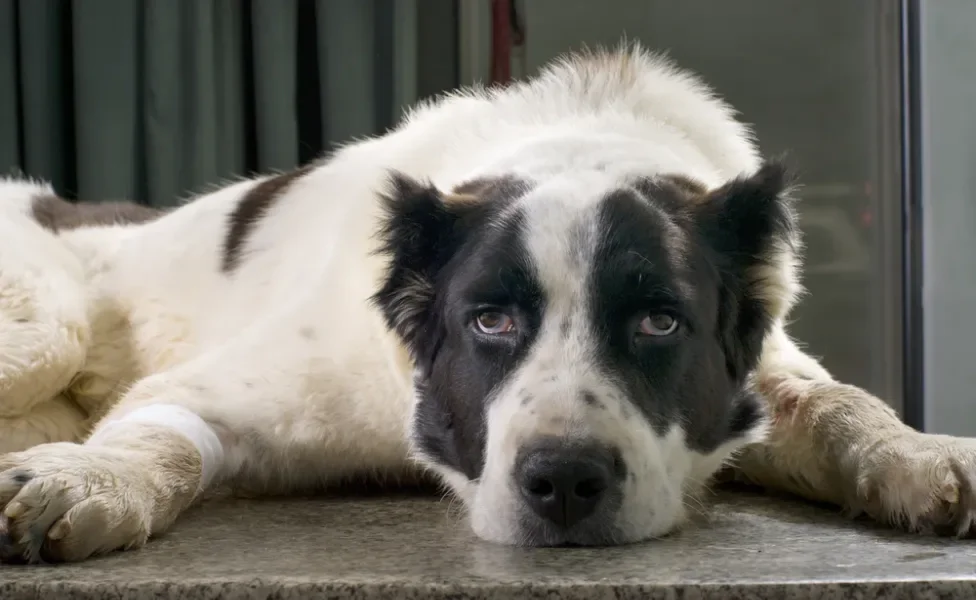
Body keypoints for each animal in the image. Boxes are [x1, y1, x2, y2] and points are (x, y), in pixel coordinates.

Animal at [1, 45, 976, 564]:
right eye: (491, 321)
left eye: (659, 322)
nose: (566, 481)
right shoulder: (227, 391)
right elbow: (160, 433)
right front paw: (87, 480)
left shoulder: (760, 377)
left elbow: (838, 401)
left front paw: (919, 450)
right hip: (46, 332)